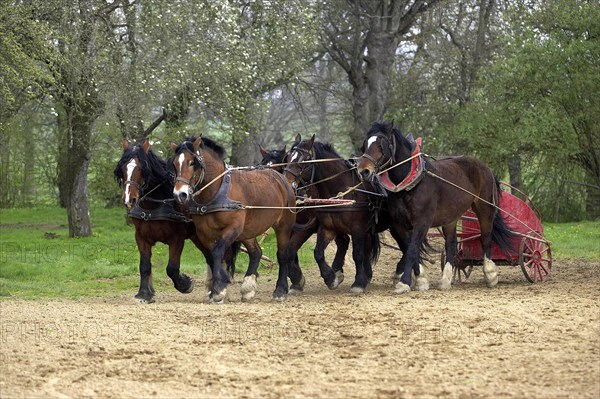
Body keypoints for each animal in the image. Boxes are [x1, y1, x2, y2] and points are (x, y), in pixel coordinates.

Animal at [113, 141, 238, 304]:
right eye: (122, 168)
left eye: (142, 168)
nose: (128, 199)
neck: (156, 204)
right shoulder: (141, 237)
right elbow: (144, 266)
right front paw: (144, 294)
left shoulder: (176, 238)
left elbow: (171, 268)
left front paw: (185, 284)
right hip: (199, 236)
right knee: (211, 257)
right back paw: (213, 289)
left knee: (224, 257)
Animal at [172, 136, 296, 302]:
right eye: (174, 164)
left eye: (192, 162)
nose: (180, 194)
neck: (215, 193)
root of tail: (282, 180)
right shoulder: (204, 233)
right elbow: (211, 256)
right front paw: (218, 287)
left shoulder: (233, 228)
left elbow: (218, 252)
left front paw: (218, 289)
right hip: (248, 230)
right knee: (256, 252)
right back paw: (248, 288)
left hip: (283, 225)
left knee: (282, 254)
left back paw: (280, 290)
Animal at [258, 142, 352, 292]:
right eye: (262, 167)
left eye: (278, 169)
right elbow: (289, 254)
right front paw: (295, 280)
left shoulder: (307, 228)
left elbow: (290, 251)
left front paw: (297, 279)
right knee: (343, 241)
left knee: (343, 241)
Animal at [282, 134, 384, 294]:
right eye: (287, 158)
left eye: (304, 161)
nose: (285, 183)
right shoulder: (327, 228)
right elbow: (315, 253)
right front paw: (330, 278)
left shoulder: (357, 229)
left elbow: (358, 254)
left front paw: (358, 283)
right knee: (345, 243)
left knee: (363, 248)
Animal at [354, 122, 512, 294]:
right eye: (365, 145)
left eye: (380, 145)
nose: (363, 171)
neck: (410, 184)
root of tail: (486, 168)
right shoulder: (400, 225)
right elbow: (409, 249)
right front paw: (420, 280)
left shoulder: (422, 222)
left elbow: (412, 250)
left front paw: (404, 282)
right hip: (450, 217)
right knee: (451, 244)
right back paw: (445, 280)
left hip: (484, 208)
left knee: (486, 238)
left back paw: (490, 274)